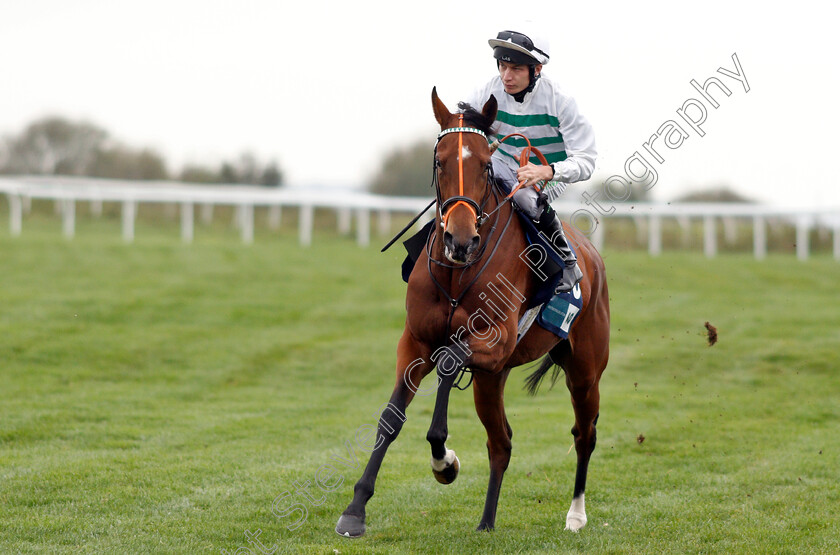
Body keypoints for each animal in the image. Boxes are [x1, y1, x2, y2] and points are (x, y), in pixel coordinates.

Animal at [334, 88, 612, 540]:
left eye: (485, 163)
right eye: (439, 160)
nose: (460, 240)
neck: (456, 273)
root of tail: (592, 257)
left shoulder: (494, 341)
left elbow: (449, 363)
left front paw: (444, 461)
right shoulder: (416, 341)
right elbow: (391, 417)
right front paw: (355, 509)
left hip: (584, 370)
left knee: (584, 433)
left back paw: (576, 515)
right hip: (491, 379)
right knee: (501, 442)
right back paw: (486, 521)